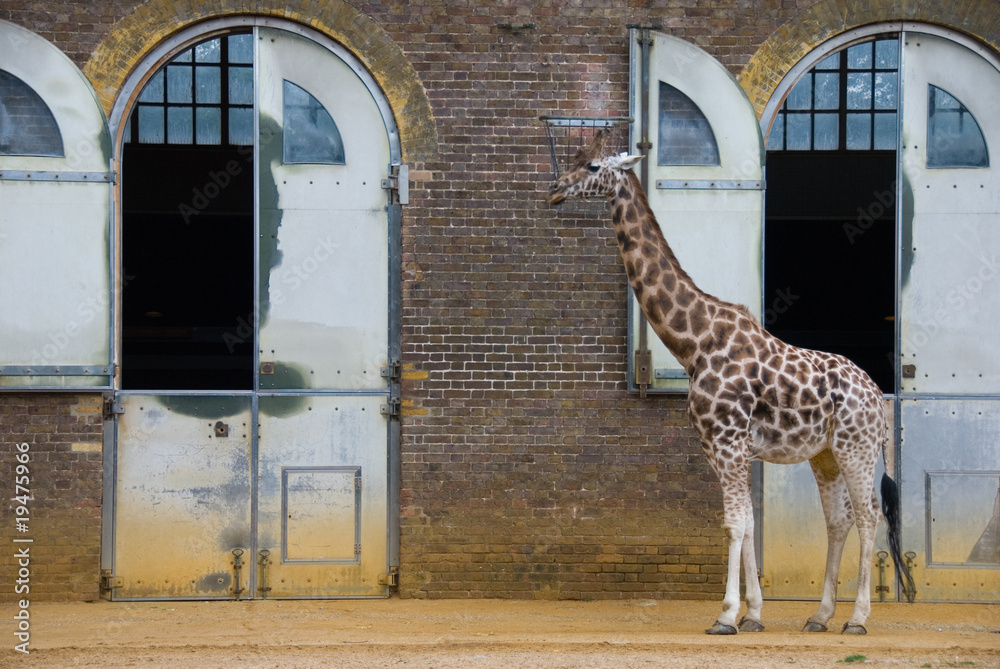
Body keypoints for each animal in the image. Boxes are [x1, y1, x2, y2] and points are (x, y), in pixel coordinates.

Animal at [546, 131, 914, 635]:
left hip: (855, 448)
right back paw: (819, 615)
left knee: (868, 516)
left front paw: (726, 615)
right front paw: (754, 613)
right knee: (838, 520)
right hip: (824, 454)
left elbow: (734, 523)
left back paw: (856, 619)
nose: (555, 190)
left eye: (593, 165)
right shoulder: (716, 446)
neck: (695, 342)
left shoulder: (728, 441)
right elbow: (748, 523)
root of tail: (878, 395)